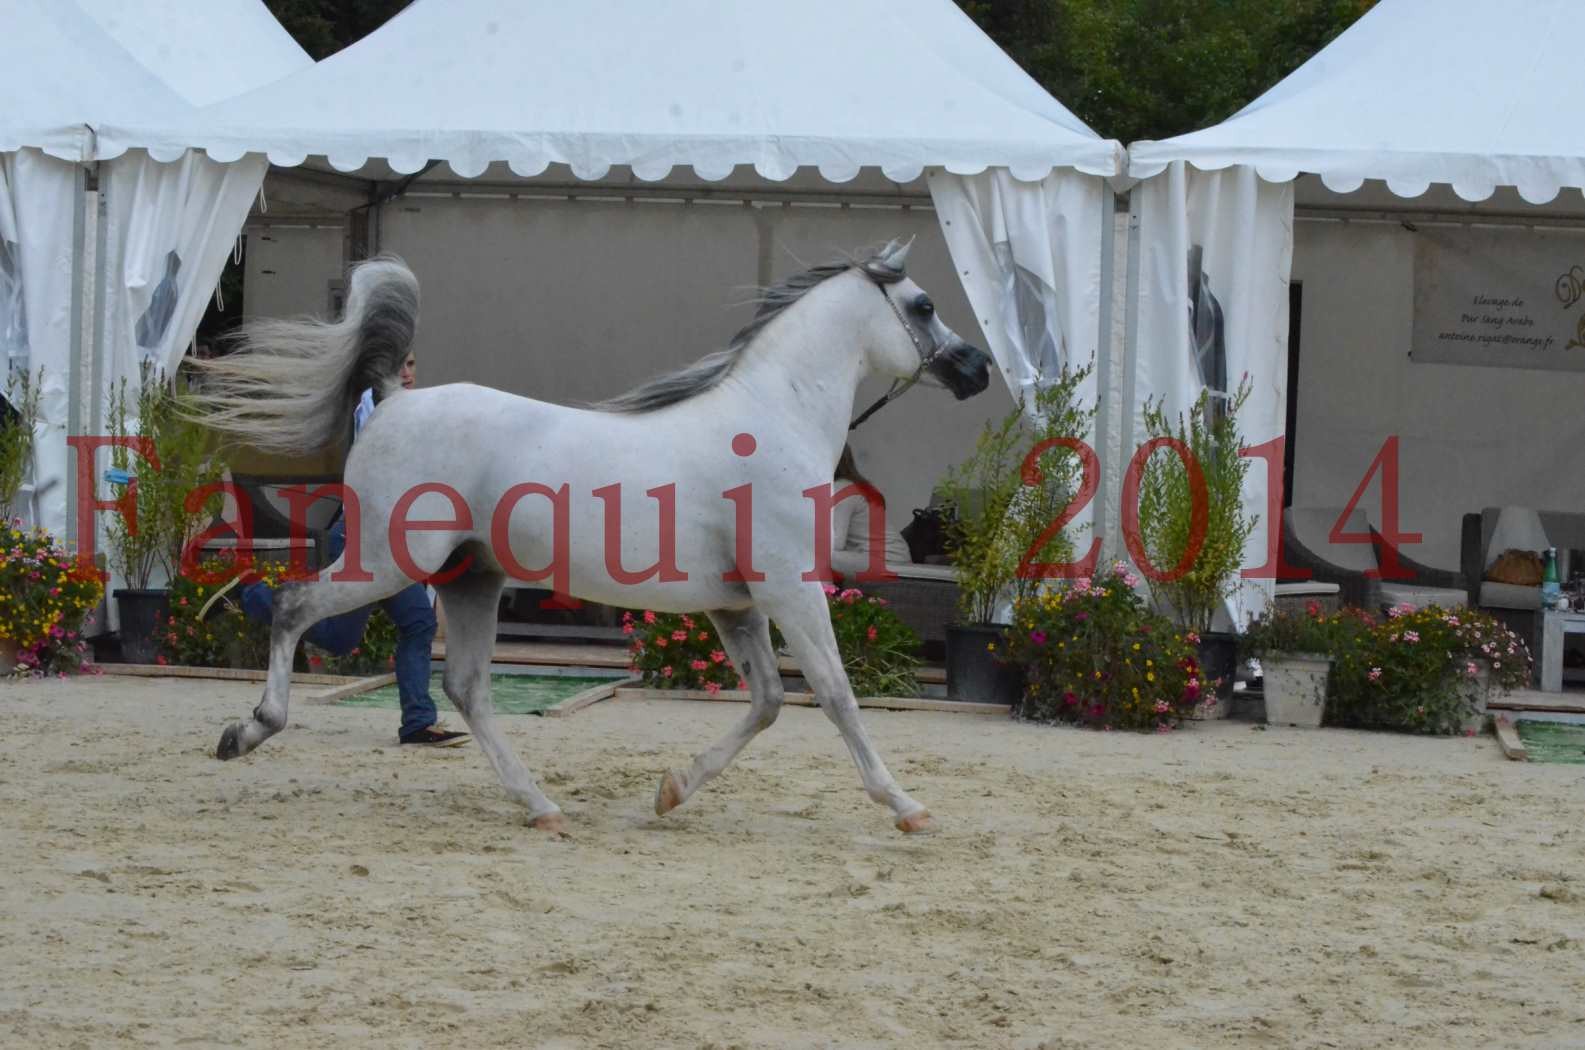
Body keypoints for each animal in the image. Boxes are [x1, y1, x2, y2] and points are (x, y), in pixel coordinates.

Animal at [198, 241, 989, 837]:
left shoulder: (736, 606)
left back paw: (541, 805)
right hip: (387, 563)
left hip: (469, 577)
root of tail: (391, 399)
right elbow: (834, 694)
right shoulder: (790, 593)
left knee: (466, 687)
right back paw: (248, 731)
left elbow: (766, 701)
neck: (773, 419)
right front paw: (906, 806)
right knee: (295, 607)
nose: (976, 368)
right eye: (923, 305)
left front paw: (671, 790)